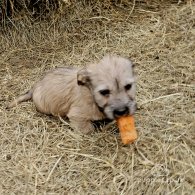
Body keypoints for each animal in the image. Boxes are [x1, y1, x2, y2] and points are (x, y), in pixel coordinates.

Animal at [7, 55, 136, 133]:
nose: (121, 111)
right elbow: (88, 129)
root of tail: (35, 87)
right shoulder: (77, 116)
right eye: (104, 92)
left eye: (128, 86)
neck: (91, 96)